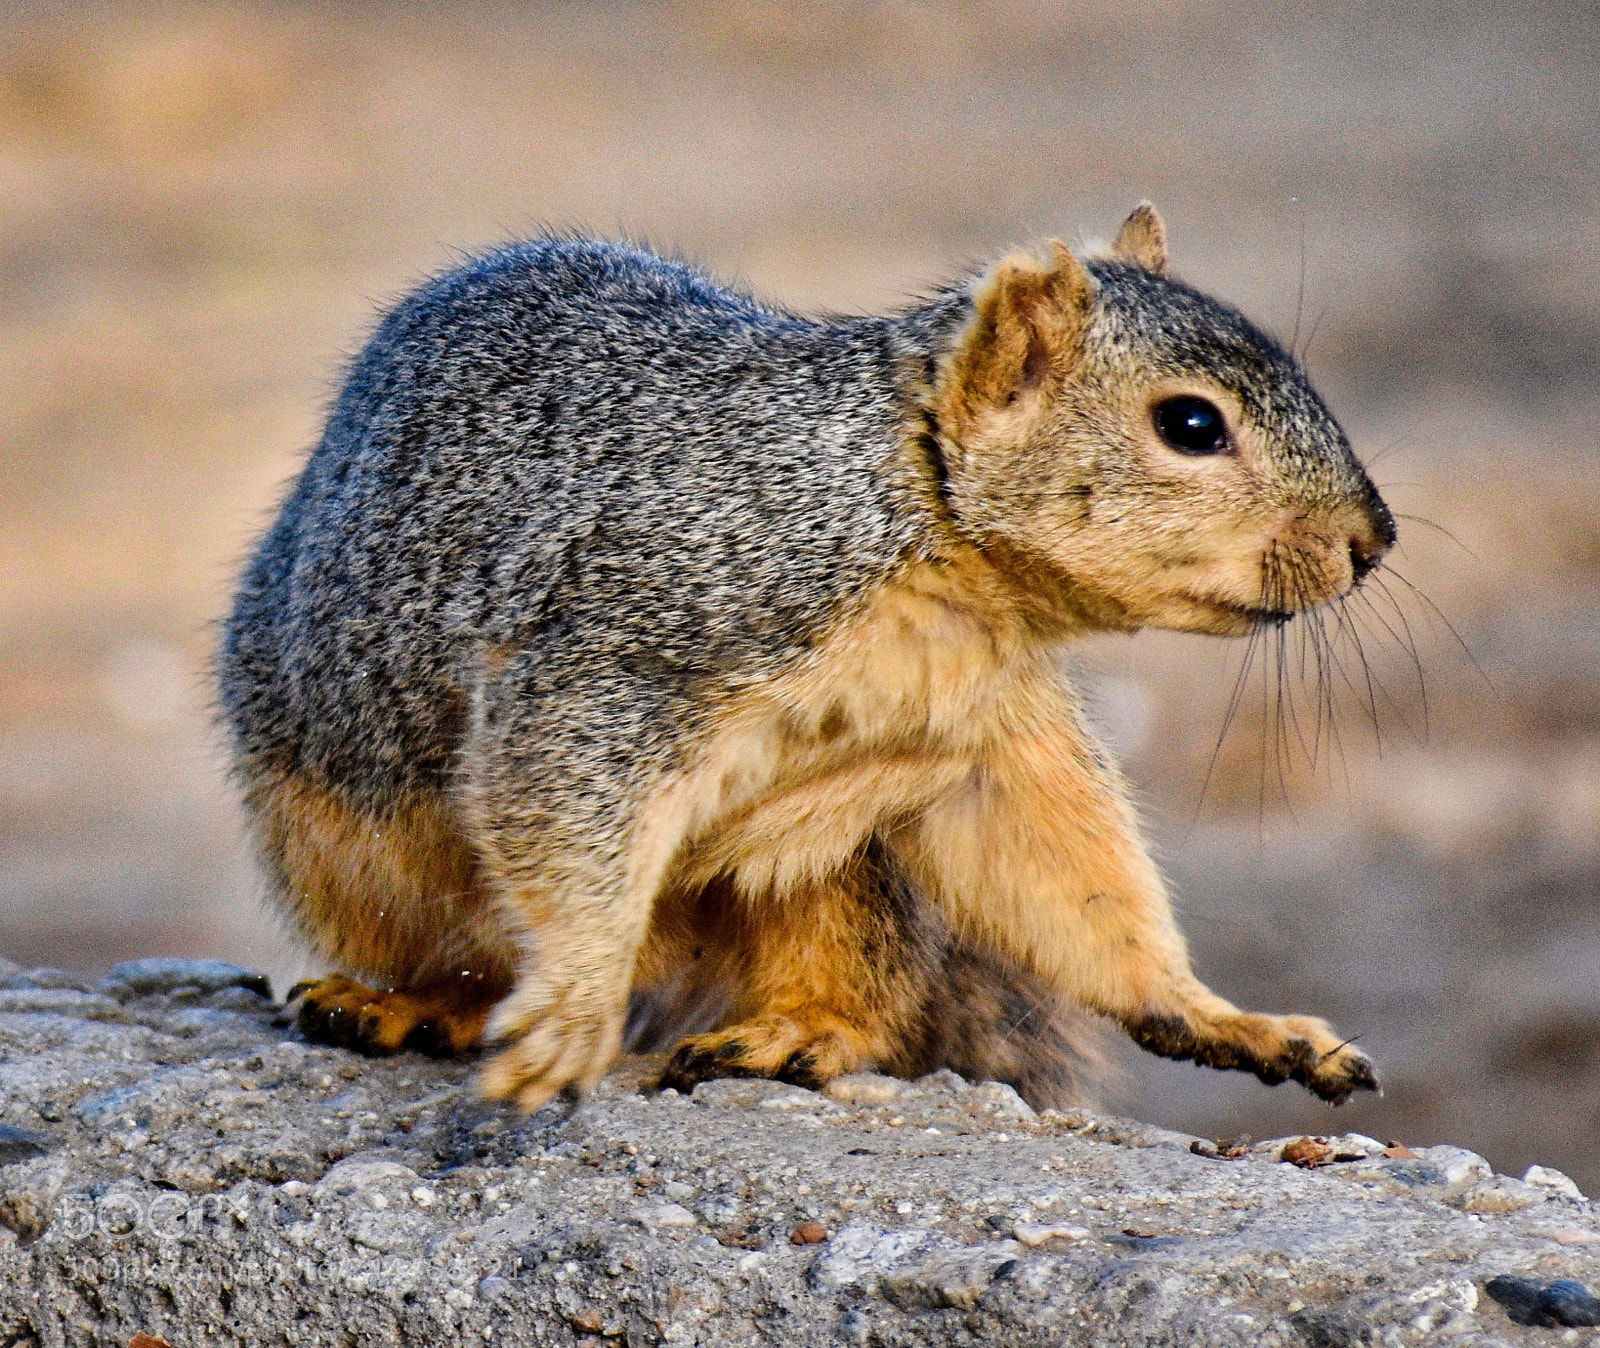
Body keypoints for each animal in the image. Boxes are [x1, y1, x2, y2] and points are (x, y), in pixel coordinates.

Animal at [219, 203, 1393, 1114]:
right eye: (1191, 424)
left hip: (839, 867)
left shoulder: (996, 732)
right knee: (463, 947)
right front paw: (576, 1009)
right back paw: (415, 1001)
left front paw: (1218, 1016)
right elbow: (563, 811)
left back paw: (799, 1031)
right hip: (345, 843)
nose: (1372, 541)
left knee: (862, 984)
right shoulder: (631, 653)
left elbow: (1070, 879)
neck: (922, 530)